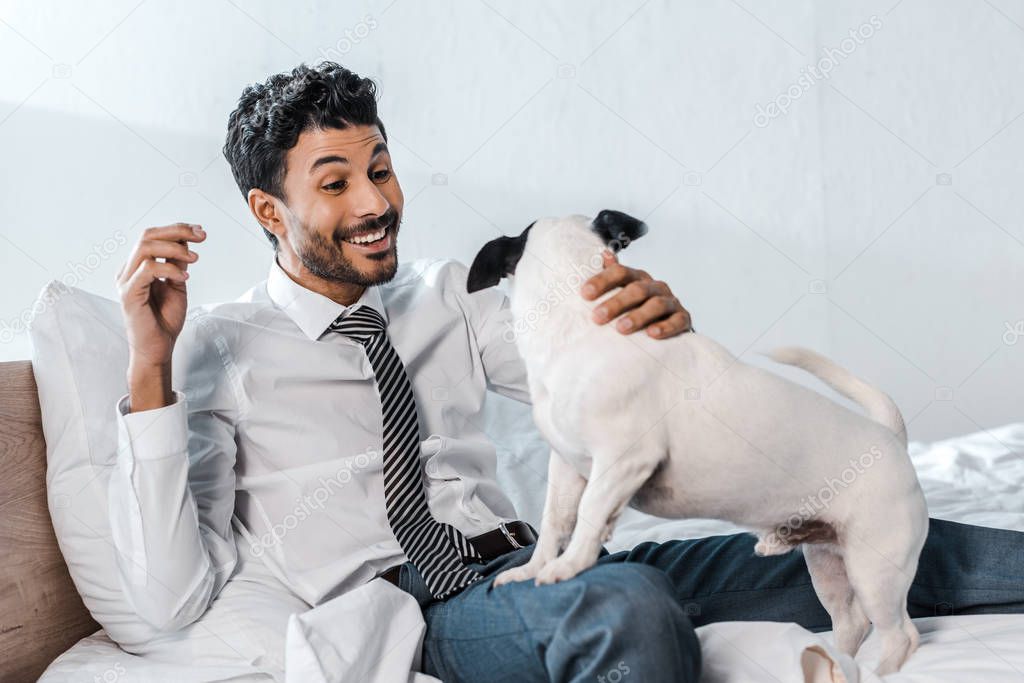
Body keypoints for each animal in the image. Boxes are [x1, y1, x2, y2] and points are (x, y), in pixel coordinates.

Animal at [468, 210, 933, 675]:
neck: (577, 318)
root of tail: (892, 439)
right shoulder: (566, 465)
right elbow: (555, 522)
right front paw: (532, 569)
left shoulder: (623, 459)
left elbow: (590, 514)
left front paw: (570, 565)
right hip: (828, 564)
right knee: (851, 624)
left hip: (875, 568)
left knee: (901, 636)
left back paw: (882, 674)